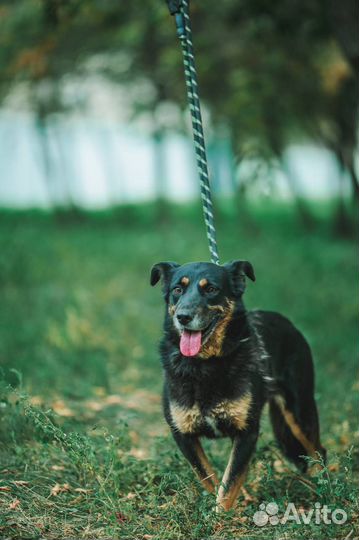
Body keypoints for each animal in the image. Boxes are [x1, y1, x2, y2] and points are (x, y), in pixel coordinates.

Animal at [150, 260, 328, 510]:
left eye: (211, 289)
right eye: (177, 289)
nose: (183, 317)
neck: (205, 365)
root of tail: (288, 323)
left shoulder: (247, 433)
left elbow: (229, 482)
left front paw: (221, 516)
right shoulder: (183, 434)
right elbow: (210, 478)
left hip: (299, 411)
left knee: (318, 451)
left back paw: (322, 488)